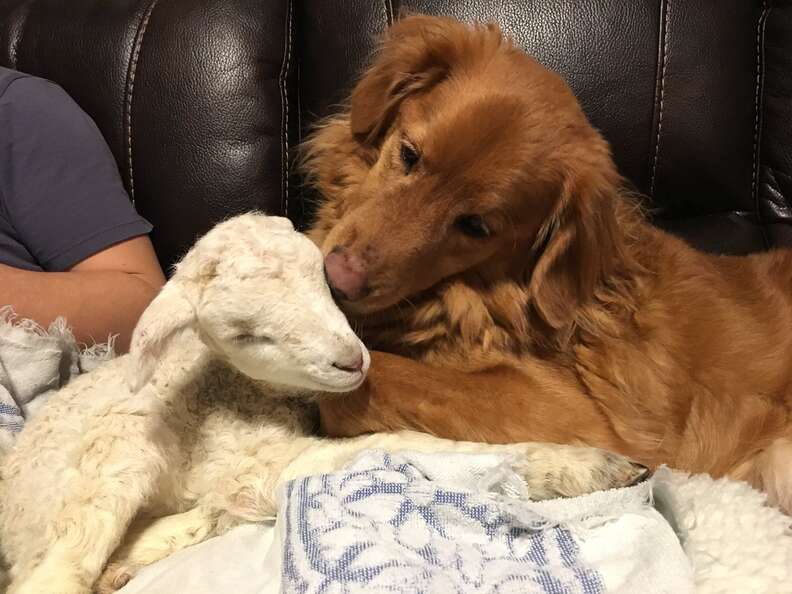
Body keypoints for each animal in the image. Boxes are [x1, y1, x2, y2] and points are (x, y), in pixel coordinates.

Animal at [0, 212, 648, 592]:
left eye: (322, 279)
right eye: (245, 334)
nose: (350, 361)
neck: (233, 388)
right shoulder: (253, 459)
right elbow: (405, 446)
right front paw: (581, 465)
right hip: (114, 455)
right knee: (56, 573)